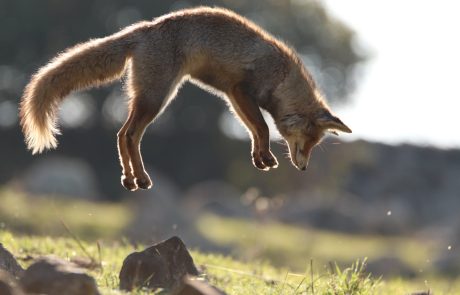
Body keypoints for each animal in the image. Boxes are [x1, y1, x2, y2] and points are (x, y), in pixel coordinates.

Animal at [19, 7, 352, 192]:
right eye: (307, 142)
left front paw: (259, 158)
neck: (282, 77)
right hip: (157, 99)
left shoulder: (232, 95)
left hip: (150, 98)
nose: (304, 169)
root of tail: (144, 28)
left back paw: (130, 179)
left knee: (120, 135)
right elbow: (264, 127)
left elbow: (255, 131)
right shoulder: (242, 90)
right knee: (129, 135)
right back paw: (141, 178)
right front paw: (266, 156)